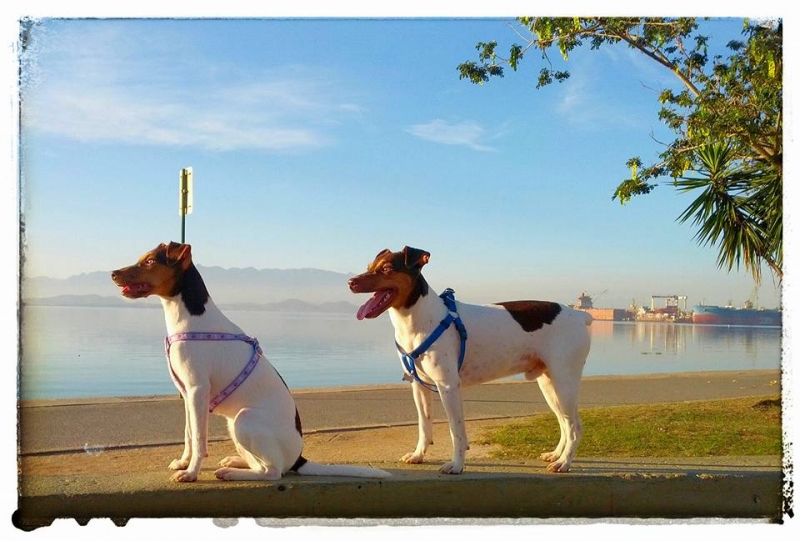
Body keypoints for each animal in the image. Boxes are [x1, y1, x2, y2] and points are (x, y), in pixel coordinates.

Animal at [110, 240, 390, 480]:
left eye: (149, 262)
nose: (112, 273)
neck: (190, 319)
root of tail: (299, 459)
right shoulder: (188, 395)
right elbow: (190, 435)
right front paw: (183, 463)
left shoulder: (198, 391)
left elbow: (200, 439)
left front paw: (191, 473)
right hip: (233, 424)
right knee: (262, 463)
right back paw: (236, 462)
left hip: (244, 419)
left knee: (273, 471)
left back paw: (233, 473)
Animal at [350, 248, 592, 472]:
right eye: (369, 266)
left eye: (386, 268)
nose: (350, 282)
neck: (417, 321)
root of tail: (580, 315)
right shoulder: (418, 386)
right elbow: (424, 426)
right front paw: (419, 455)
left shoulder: (448, 386)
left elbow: (456, 432)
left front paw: (456, 465)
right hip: (549, 385)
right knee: (564, 423)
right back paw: (556, 455)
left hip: (564, 383)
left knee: (575, 427)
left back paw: (564, 462)